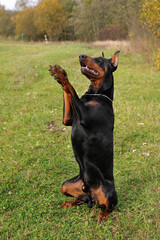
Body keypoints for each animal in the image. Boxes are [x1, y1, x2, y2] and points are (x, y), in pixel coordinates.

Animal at [49, 51, 119, 223]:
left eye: (99, 60)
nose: (81, 56)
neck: (96, 94)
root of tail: (91, 193)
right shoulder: (68, 119)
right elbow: (68, 94)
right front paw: (59, 73)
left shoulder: (85, 116)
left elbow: (71, 89)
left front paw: (62, 76)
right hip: (67, 185)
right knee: (82, 199)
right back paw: (70, 202)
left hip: (108, 190)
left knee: (110, 206)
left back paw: (103, 215)